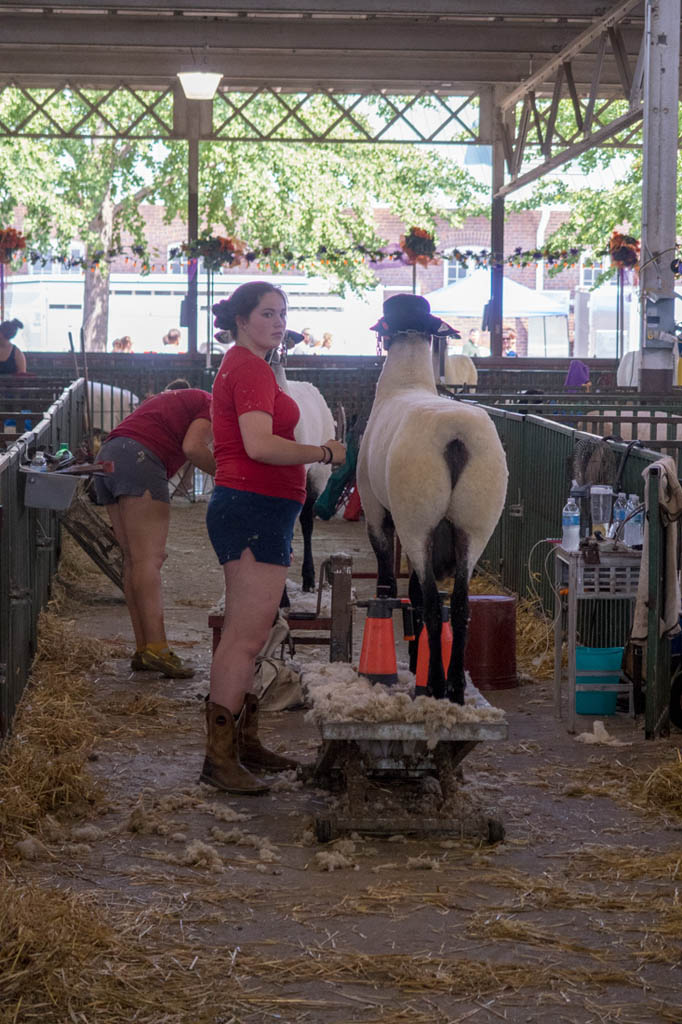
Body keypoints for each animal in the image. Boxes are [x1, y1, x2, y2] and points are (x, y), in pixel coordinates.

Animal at [356, 299, 503, 704]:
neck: (406, 380)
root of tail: (455, 436)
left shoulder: (376, 513)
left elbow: (394, 588)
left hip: (416, 519)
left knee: (433, 605)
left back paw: (435, 685)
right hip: (476, 521)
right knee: (461, 605)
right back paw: (455, 688)